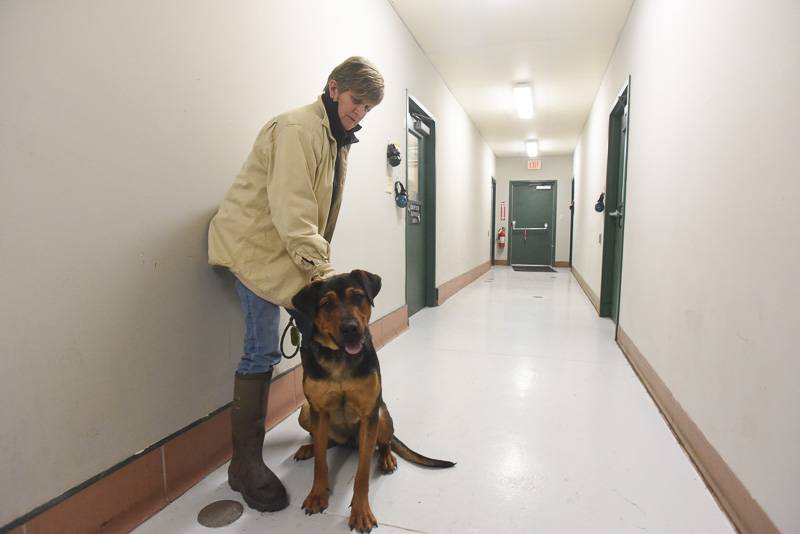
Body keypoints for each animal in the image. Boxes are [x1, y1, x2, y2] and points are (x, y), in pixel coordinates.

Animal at [292, 270, 456, 532]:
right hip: (305, 411)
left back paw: (387, 458)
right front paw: (317, 494)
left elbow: (362, 473)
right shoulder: (318, 409)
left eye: (358, 297)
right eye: (326, 304)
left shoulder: (369, 413)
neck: (341, 359)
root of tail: (350, 443)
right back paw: (309, 447)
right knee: (325, 442)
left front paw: (361, 512)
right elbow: (320, 463)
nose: (350, 328)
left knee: (385, 441)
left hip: (381, 414)